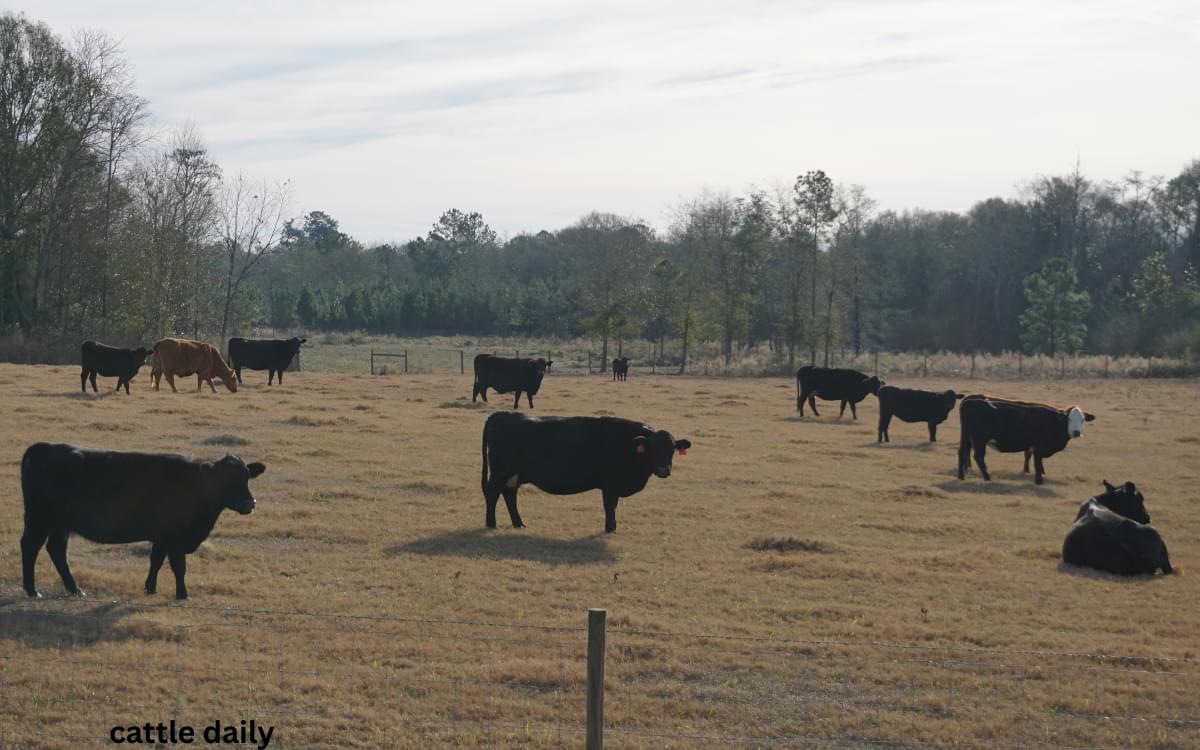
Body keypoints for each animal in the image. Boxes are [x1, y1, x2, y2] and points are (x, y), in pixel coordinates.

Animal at [19, 442, 266, 599]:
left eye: (247, 476)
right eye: (224, 481)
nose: (249, 503)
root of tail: (42, 447)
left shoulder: (162, 537)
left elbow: (156, 560)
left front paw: (150, 588)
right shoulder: (175, 538)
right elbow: (179, 567)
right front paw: (183, 594)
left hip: (60, 524)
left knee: (56, 550)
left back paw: (74, 589)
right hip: (39, 519)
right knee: (30, 547)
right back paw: (32, 590)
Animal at [481, 412, 691, 533]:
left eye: (672, 449)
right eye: (653, 449)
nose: (664, 470)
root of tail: (503, 414)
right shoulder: (610, 485)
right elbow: (610, 507)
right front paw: (611, 529)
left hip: (513, 475)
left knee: (509, 494)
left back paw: (519, 523)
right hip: (500, 472)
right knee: (493, 493)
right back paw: (491, 524)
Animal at [957, 395, 1094, 484]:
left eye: (1083, 420)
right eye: (1069, 419)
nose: (1076, 432)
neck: (1054, 422)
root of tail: (971, 401)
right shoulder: (1038, 446)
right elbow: (1037, 463)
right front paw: (1039, 481)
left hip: (966, 437)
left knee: (962, 452)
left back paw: (961, 476)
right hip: (979, 439)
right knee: (978, 456)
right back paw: (987, 478)